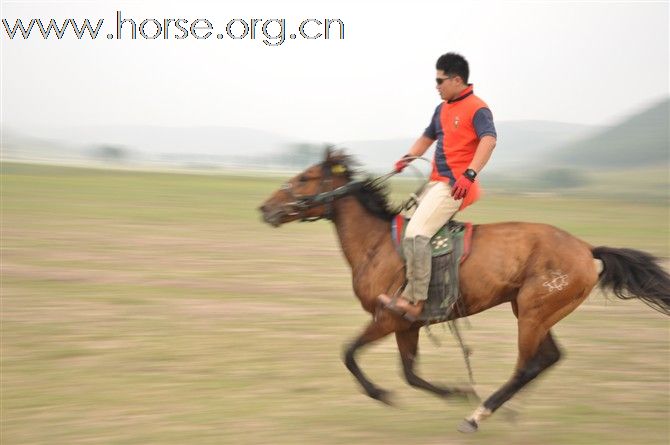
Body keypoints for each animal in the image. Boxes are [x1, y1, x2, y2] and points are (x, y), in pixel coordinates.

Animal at [258, 148, 670, 430]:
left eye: (305, 177)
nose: (265, 209)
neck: (376, 245)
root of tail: (586, 249)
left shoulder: (388, 318)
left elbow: (349, 353)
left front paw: (382, 394)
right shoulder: (407, 324)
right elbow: (410, 374)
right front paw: (456, 391)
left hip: (533, 314)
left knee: (526, 365)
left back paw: (478, 416)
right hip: (534, 312)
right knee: (548, 358)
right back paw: (502, 408)